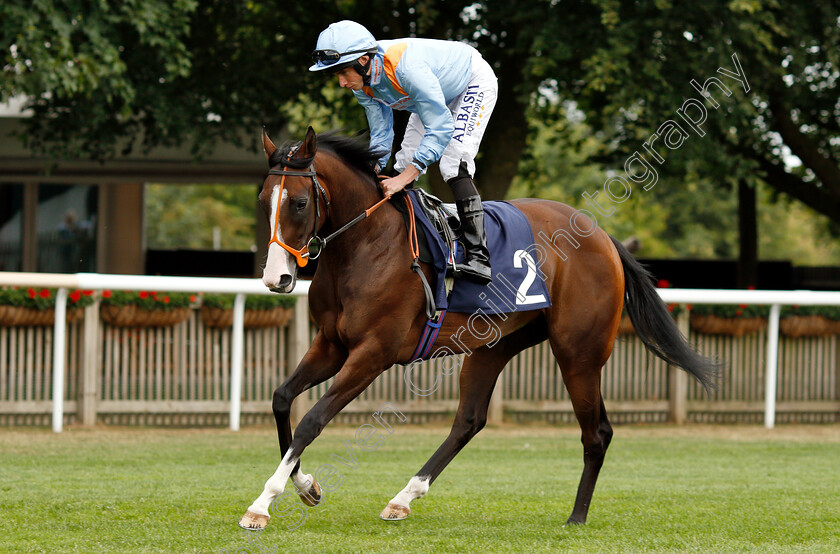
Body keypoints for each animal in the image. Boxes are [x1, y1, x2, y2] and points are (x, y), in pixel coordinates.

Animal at [240, 127, 720, 528]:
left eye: (300, 203)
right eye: (263, 201)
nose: (277, 278)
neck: (366, 245)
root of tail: (602, 236)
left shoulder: (373, 353)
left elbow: (312, 420)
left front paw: (262, 505)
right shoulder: (332, 343)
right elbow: (282, 399)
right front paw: (306, 486)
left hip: (578, 353)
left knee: (596, 431)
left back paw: (577, 517)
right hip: (495, 344)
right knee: (469, 420)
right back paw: (403, 498)